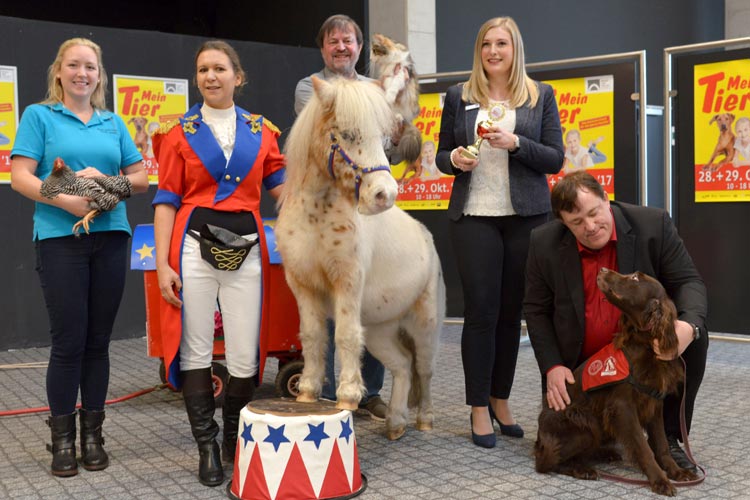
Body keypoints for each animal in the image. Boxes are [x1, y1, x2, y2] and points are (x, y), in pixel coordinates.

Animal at [536, 268, 700, 494]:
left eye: (635, 278)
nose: (602, 270)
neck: (644, 345)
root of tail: (539, 439)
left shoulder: (654, 404)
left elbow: (662, 445)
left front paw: (676, 472)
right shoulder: (622, 407)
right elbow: (644, 447)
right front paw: (660, 480)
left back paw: (605, 453)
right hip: (585, 423)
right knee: (548, 463)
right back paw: (583, 470)